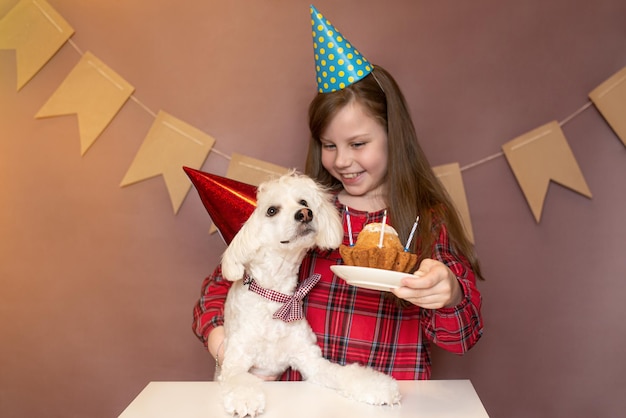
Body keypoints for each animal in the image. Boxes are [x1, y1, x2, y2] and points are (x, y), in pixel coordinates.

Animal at [217, 171, 398, 416]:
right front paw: (244, 398)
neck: (276, 298)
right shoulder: (236, 360)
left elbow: (346, 373)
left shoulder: (311, 361)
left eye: (303, 202)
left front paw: (378, 386)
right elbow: (237, 379)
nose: (305, 213)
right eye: (271, 210)